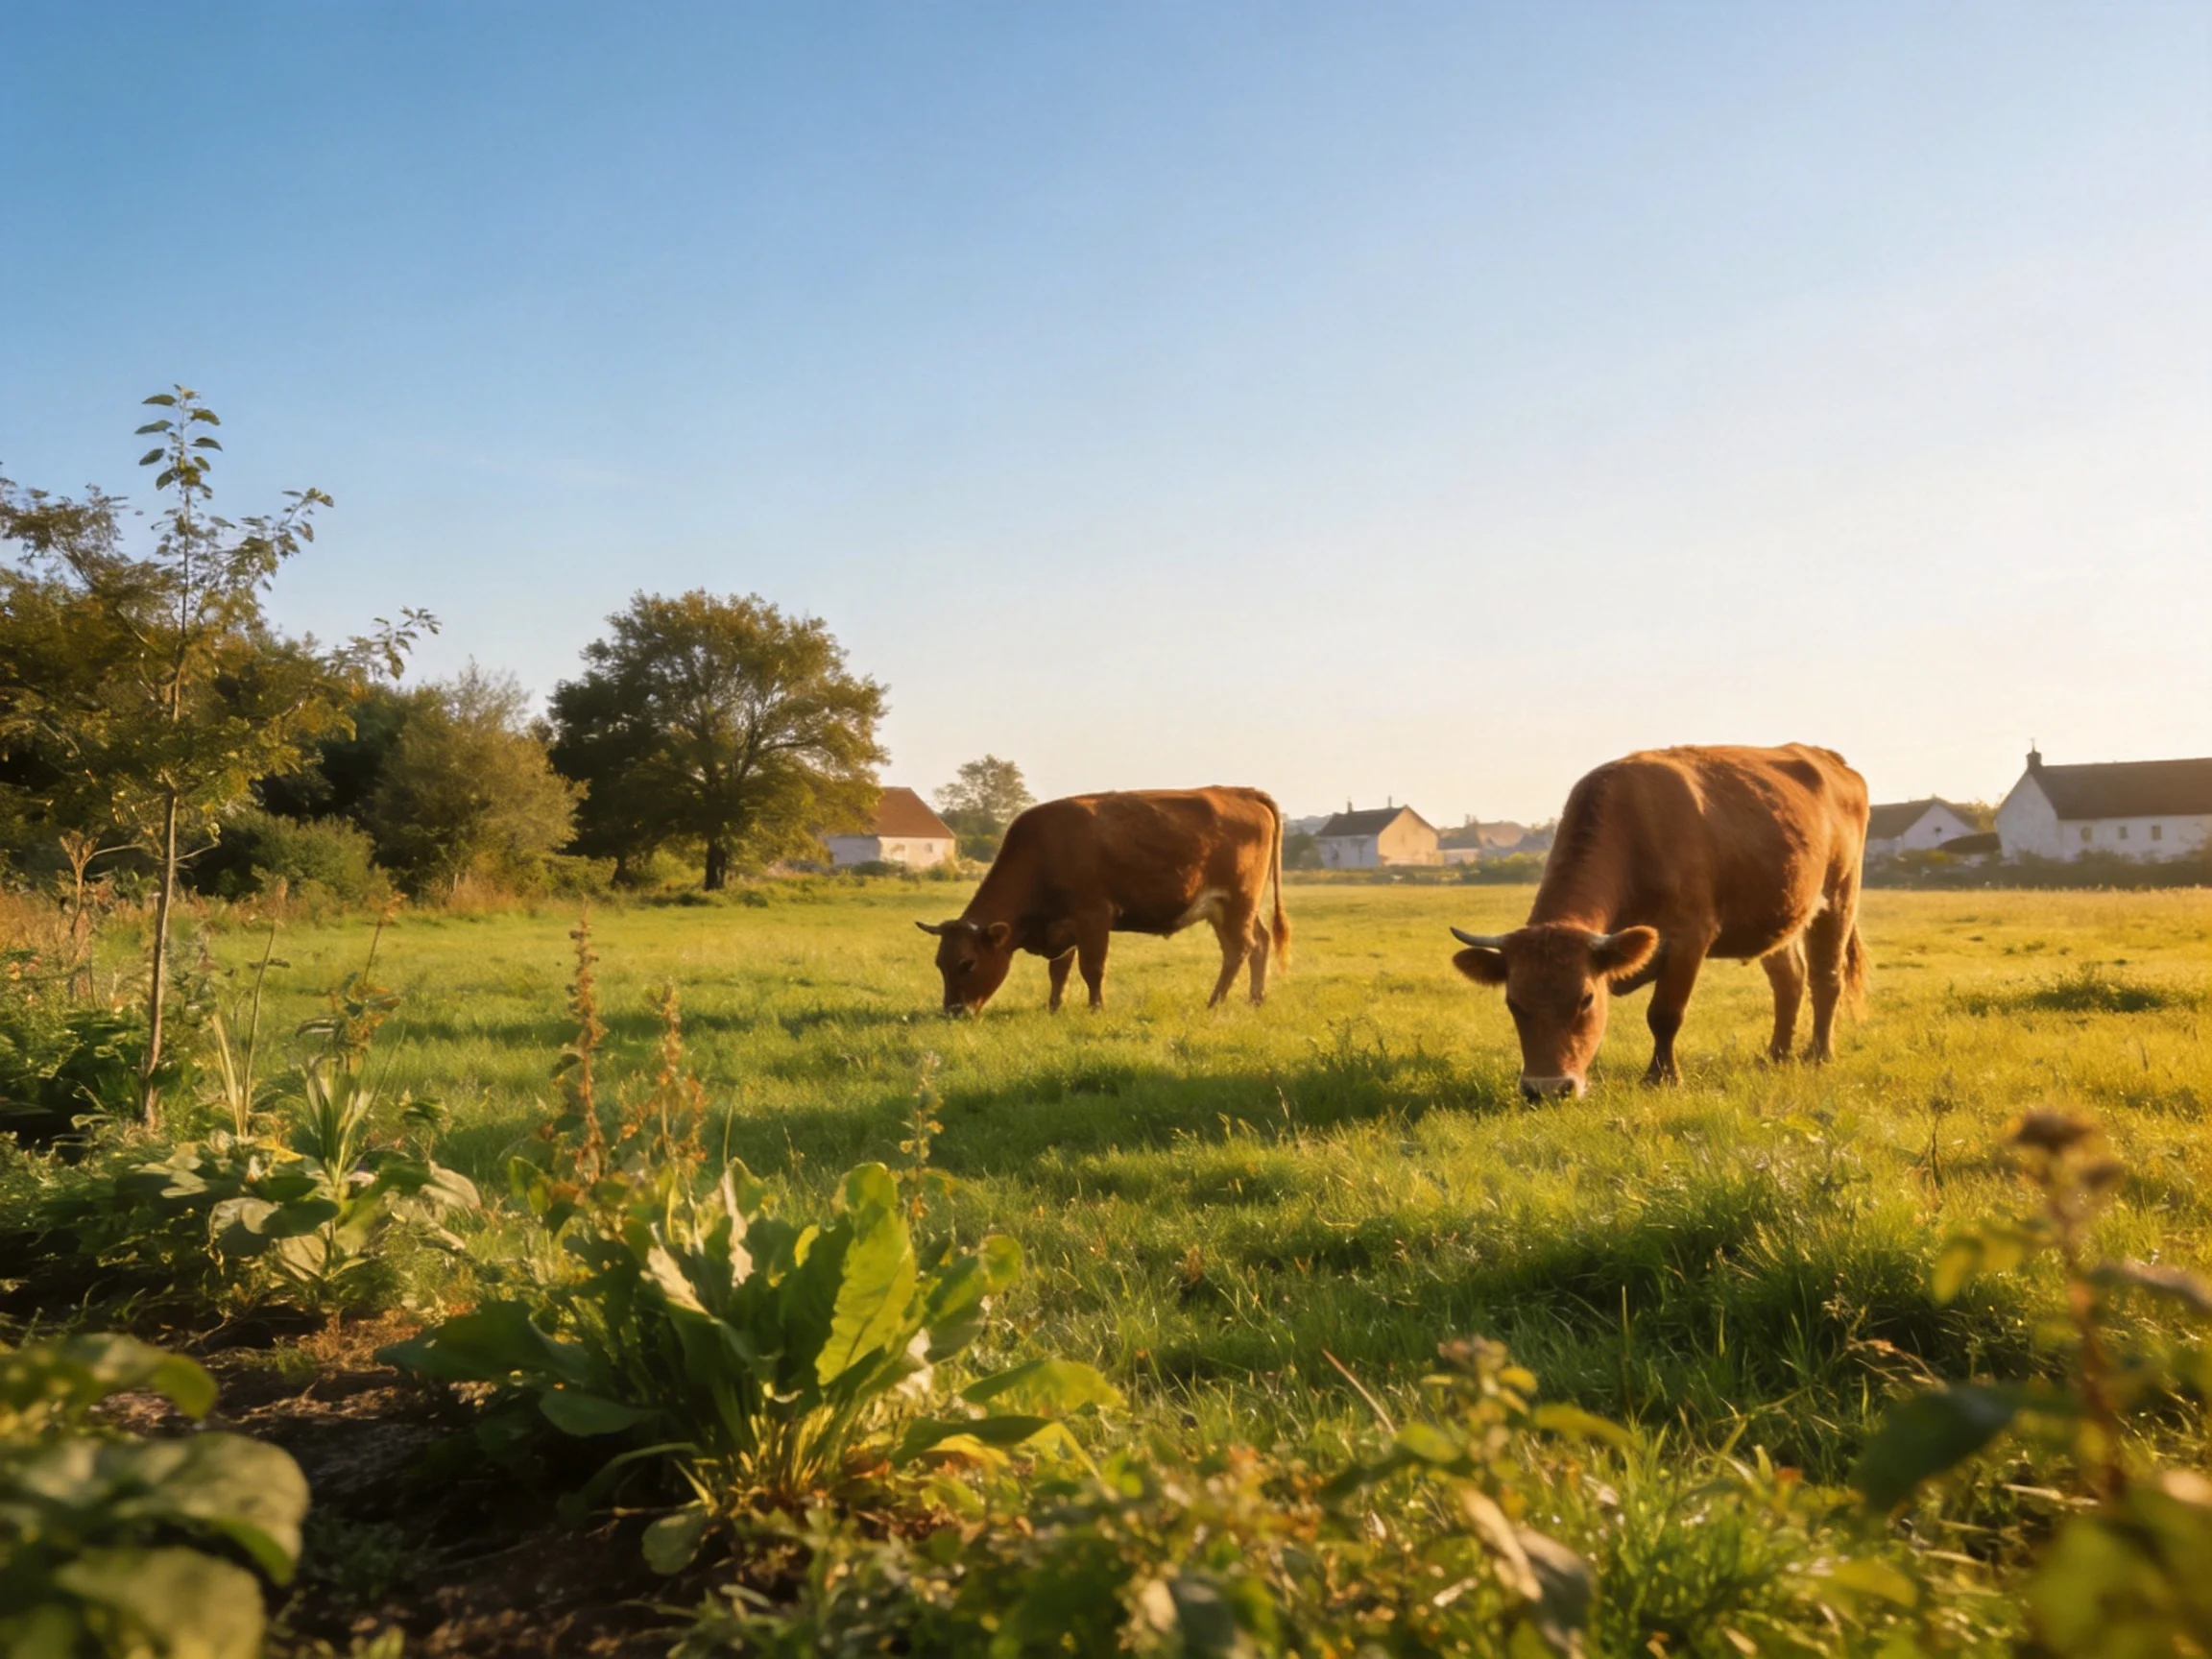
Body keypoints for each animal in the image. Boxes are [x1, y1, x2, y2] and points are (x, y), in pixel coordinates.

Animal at [916, 787, 1290, 1014]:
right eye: (939, 964)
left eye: (967, 963)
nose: (953, 1013)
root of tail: (1239, 792)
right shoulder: (1063, 926)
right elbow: (1059, 971)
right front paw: (1054, 1007)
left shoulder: (1093, 916)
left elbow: (1092, 968)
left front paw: (1096, 1008)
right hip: (1231, 909)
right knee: (1259, 943)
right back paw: (1255, 1000)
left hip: (1238, 902)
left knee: (1239, 949)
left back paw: (1215, 1002)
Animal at [1449, 744, 1869, 1100]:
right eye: (1513, 1002)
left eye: (1585, 999)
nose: (1548, 1089)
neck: (1635, 835)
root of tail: (1829, 759)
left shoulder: (1689, 938)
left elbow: (1664, 1014)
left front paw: (1662, 1078)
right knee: (1789, 982)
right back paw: (1777, 1054)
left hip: (1840, 896)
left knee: (1825, 979)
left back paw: (1818, 1054)